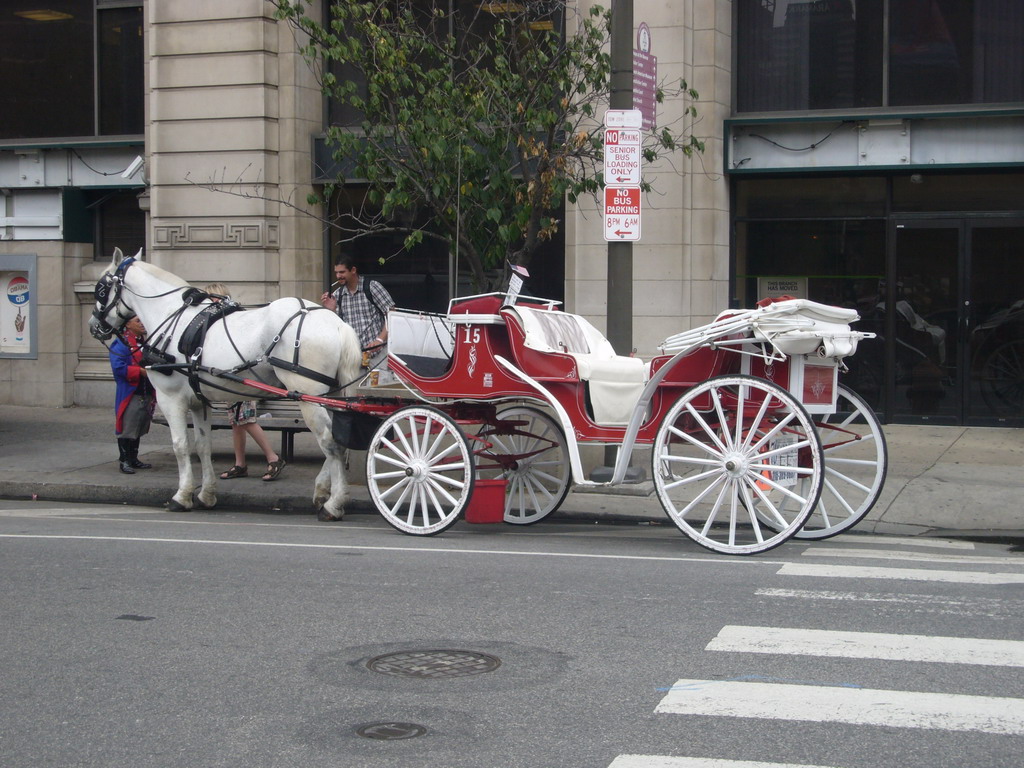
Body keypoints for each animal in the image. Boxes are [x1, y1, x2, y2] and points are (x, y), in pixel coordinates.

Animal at [88, 249, 362, 520]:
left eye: (100, 288)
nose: (94, 326)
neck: (170, 317)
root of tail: (337, 323)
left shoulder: (170, 398)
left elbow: (180, 446)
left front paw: (182, 496)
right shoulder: (199, 401)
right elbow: (202, 445)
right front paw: (206, 494)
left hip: (308, 394)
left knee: (329, 442)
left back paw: (334, 503)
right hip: (331, 395)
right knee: (338, 440)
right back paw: (322, 492)